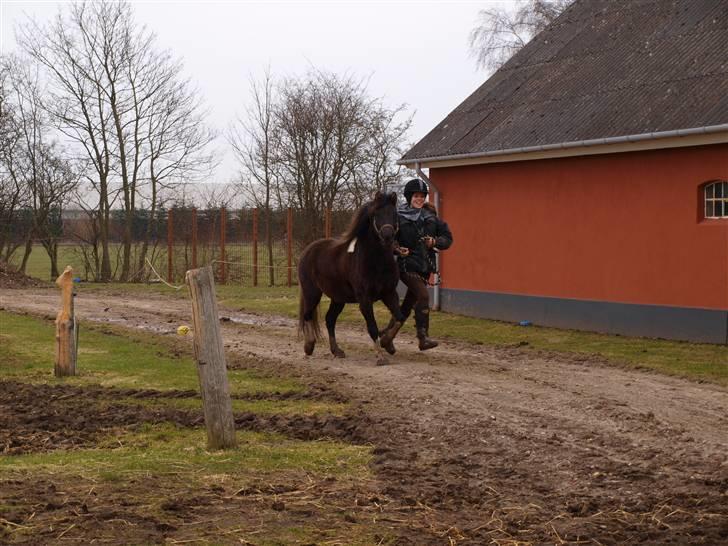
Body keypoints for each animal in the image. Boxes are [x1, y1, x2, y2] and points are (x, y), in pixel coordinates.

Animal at [298, 189, 406, 364]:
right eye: (376, 214)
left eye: (394, 214)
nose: (388, 236)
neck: (376, 261)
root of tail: (308, 250)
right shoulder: (365, 299)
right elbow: (372, 327)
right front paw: (380, 356)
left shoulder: (389, 294)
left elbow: (399, 318)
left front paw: (387, 343)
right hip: (312, 293)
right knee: (307, 315)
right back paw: (309, 346)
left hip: (338, 298)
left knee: (330, 319)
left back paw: (336, 350)